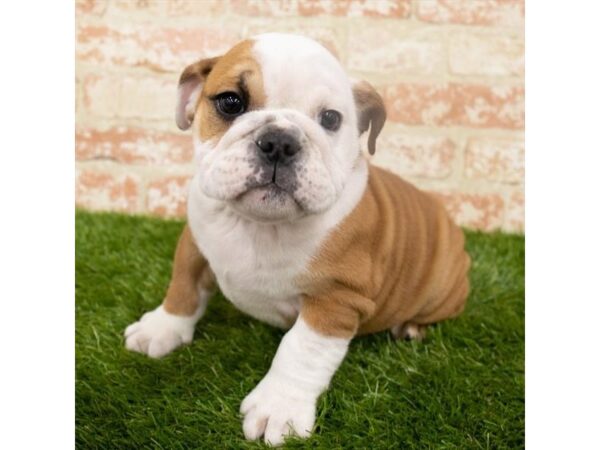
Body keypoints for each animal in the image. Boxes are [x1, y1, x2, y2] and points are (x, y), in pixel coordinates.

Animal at [125, 33, 468, 444]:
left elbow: (301, 350)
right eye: (230, 102)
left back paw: (412, 327)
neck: (260, 225)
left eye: (331, 119)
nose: (279, 141)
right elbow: (184, 287)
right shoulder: (194, 244)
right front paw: (162, 328)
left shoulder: (336, 299)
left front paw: (279, 407)